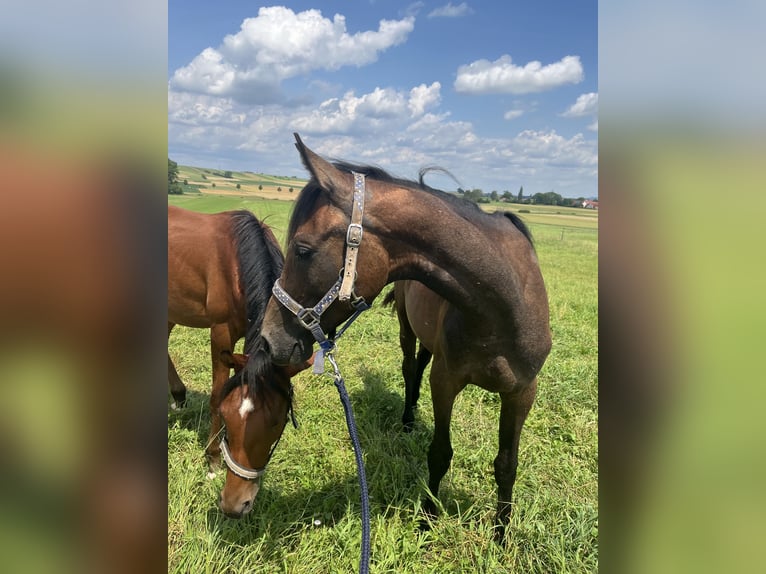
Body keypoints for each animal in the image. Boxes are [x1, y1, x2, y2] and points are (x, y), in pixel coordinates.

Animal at [169, 206, 308, 516]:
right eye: (227, 416)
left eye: (277, 423)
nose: (235, 505)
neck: (236, 262)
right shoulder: (220, 332)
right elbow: (215, 394)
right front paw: (212, 460)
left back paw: (178, 395)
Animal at [264, 135, 552, 540]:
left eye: (302, 250)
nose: (268, 338)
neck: (503, 307)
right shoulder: (445, 381)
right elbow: (440, 453)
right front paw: (428, 518)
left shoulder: (523, 391)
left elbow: (507, 463)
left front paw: (500, 533)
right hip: (406, 328)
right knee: (408, 367)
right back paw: (407, 420)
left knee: (416, 367)